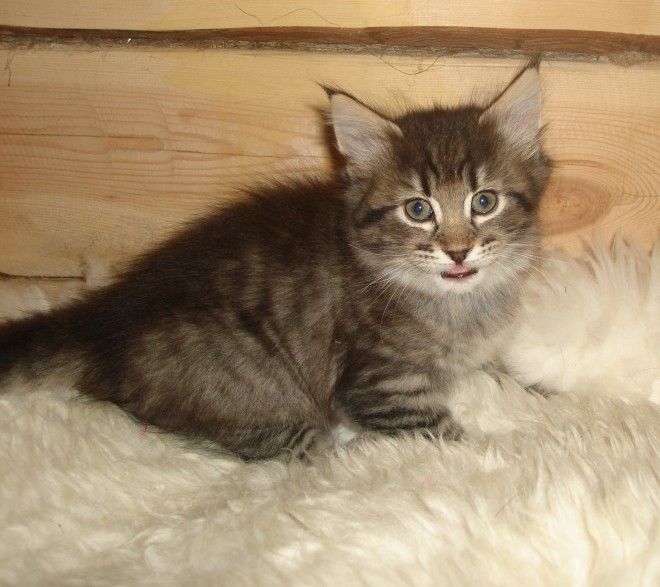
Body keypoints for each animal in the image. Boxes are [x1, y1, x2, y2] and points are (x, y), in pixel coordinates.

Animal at [0, 63, 548, 460]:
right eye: (418, 210)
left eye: (484, 202)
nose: (457, 250)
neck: (461, 303)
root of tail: (104, 316)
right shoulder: (379, 386)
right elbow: (448, 439)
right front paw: (504, 455)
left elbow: (510, 379)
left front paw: (542, 399)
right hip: (245, 376)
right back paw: (339, 451)